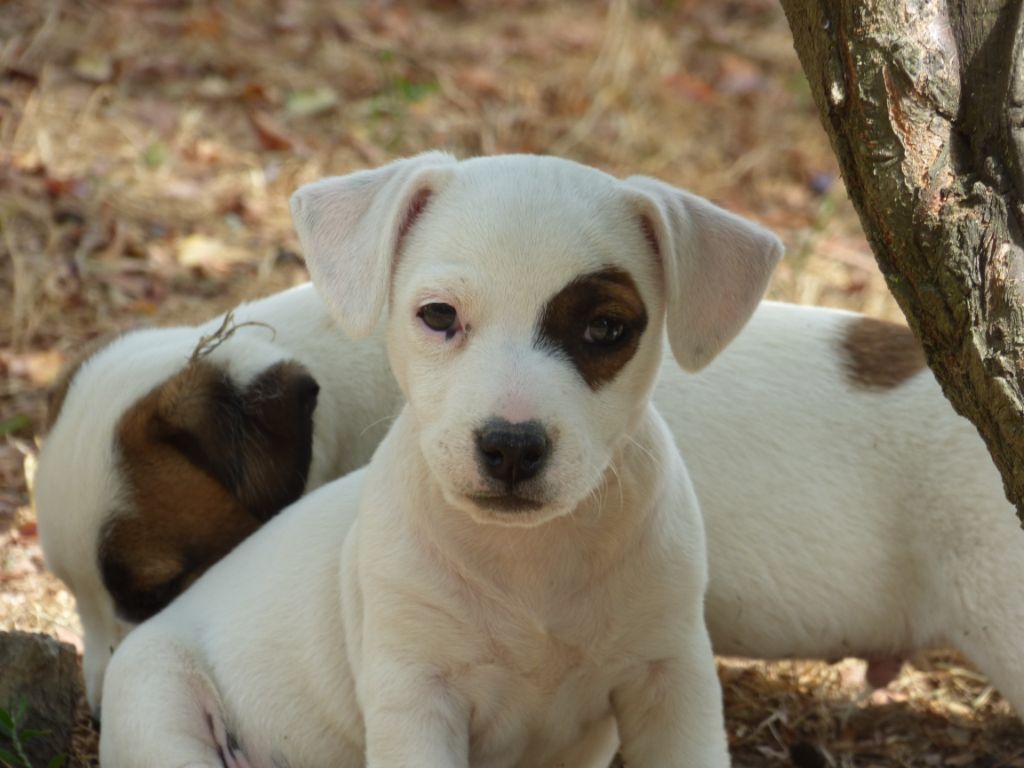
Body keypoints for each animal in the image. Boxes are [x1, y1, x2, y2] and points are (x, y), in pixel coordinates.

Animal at [97, 151, 782, 768]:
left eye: (606, 329)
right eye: (438, 315)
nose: (512, 446)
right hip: (156, 702)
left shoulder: (671, 679)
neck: (529, 562)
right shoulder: (416, 696)